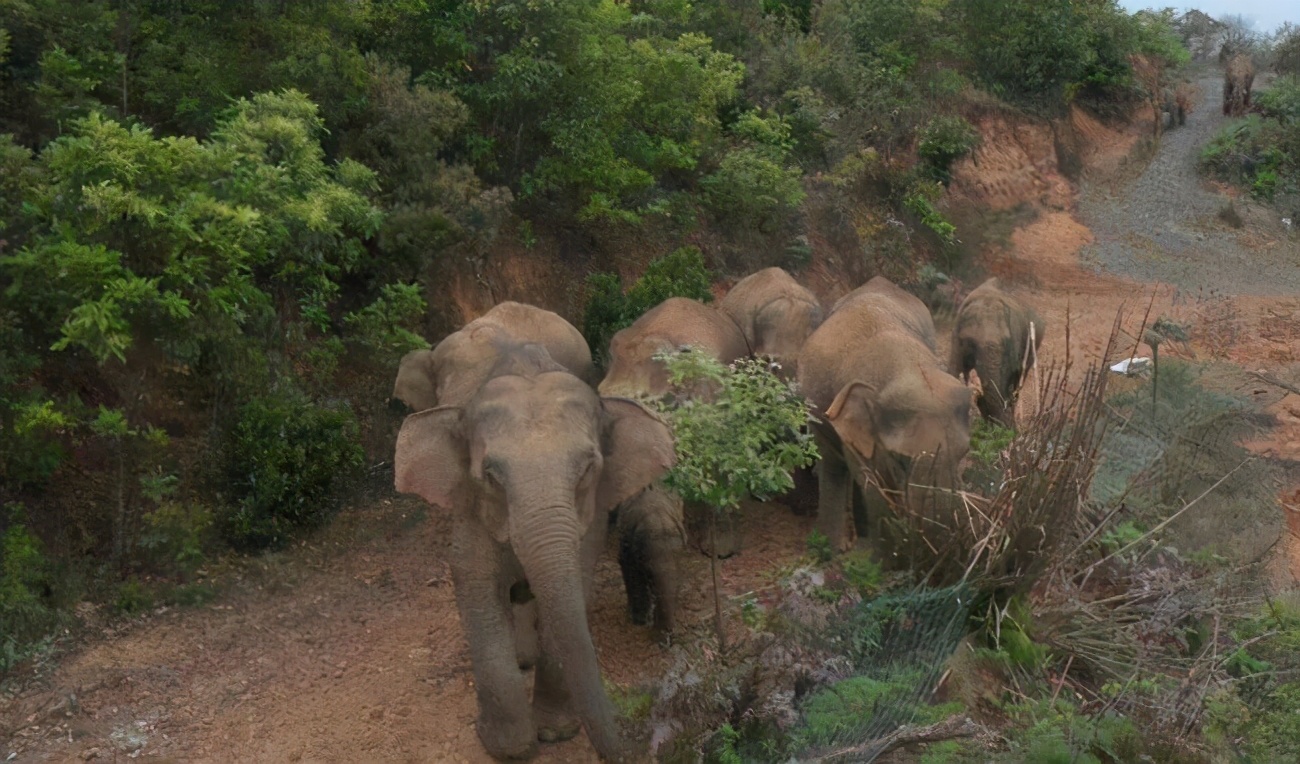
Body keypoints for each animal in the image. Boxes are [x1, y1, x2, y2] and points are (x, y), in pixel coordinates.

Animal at [392, 343, 676, 758]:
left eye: (587, 470)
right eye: (490, 476)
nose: (638, 743)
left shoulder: (590, 520)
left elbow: (573, 590)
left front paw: (555, 733)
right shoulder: (471, 512)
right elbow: (476, 586)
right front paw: (506, 747)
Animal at [795, 274, 972, 556]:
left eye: (963, 453)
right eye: (900, 460)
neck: (907, 370)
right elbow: (870, 485)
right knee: (833, 464)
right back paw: (834, 546)